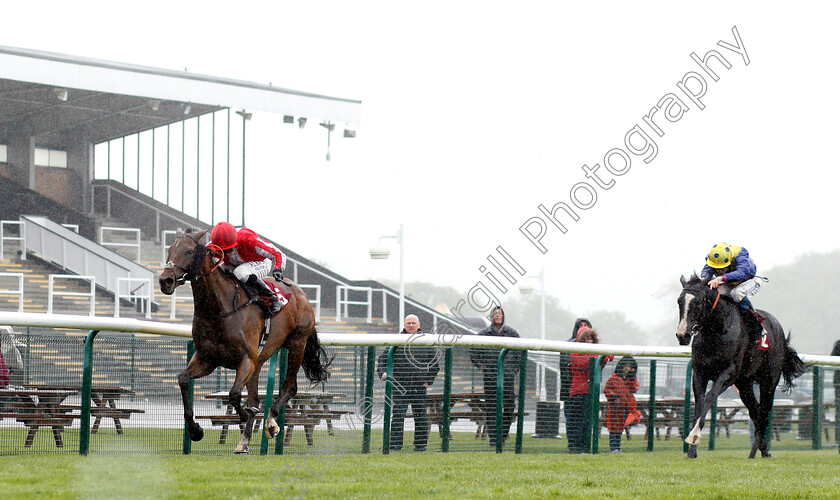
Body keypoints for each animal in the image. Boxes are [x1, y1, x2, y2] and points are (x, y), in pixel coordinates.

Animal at [159, 229, 330, 456]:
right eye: (170, 249)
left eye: (188, 251)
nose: (165, 280)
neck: (219, 309)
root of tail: (301, 294)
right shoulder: (207, 359)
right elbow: (183, 379)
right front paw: (196, 430)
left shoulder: (246, 359)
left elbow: (233, 395)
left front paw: (245, 414)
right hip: (260, 361)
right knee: (255, 397)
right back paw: (244, 441)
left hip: (297, 344)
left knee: (290, 388)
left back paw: (271, 424)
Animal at [672, 276, 804, 458]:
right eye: (679, 301)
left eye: (698, 302)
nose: (682, 335)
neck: (716, 330)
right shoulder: (699, 373)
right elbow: (699, 403)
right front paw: (692, 450)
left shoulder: (728, 373)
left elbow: (709, 397)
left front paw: (694, 436)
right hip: (744, 385)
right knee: (755, 412)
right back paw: (763, 449)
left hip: (769, 381)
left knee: (764, 413)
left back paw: (756, 452)